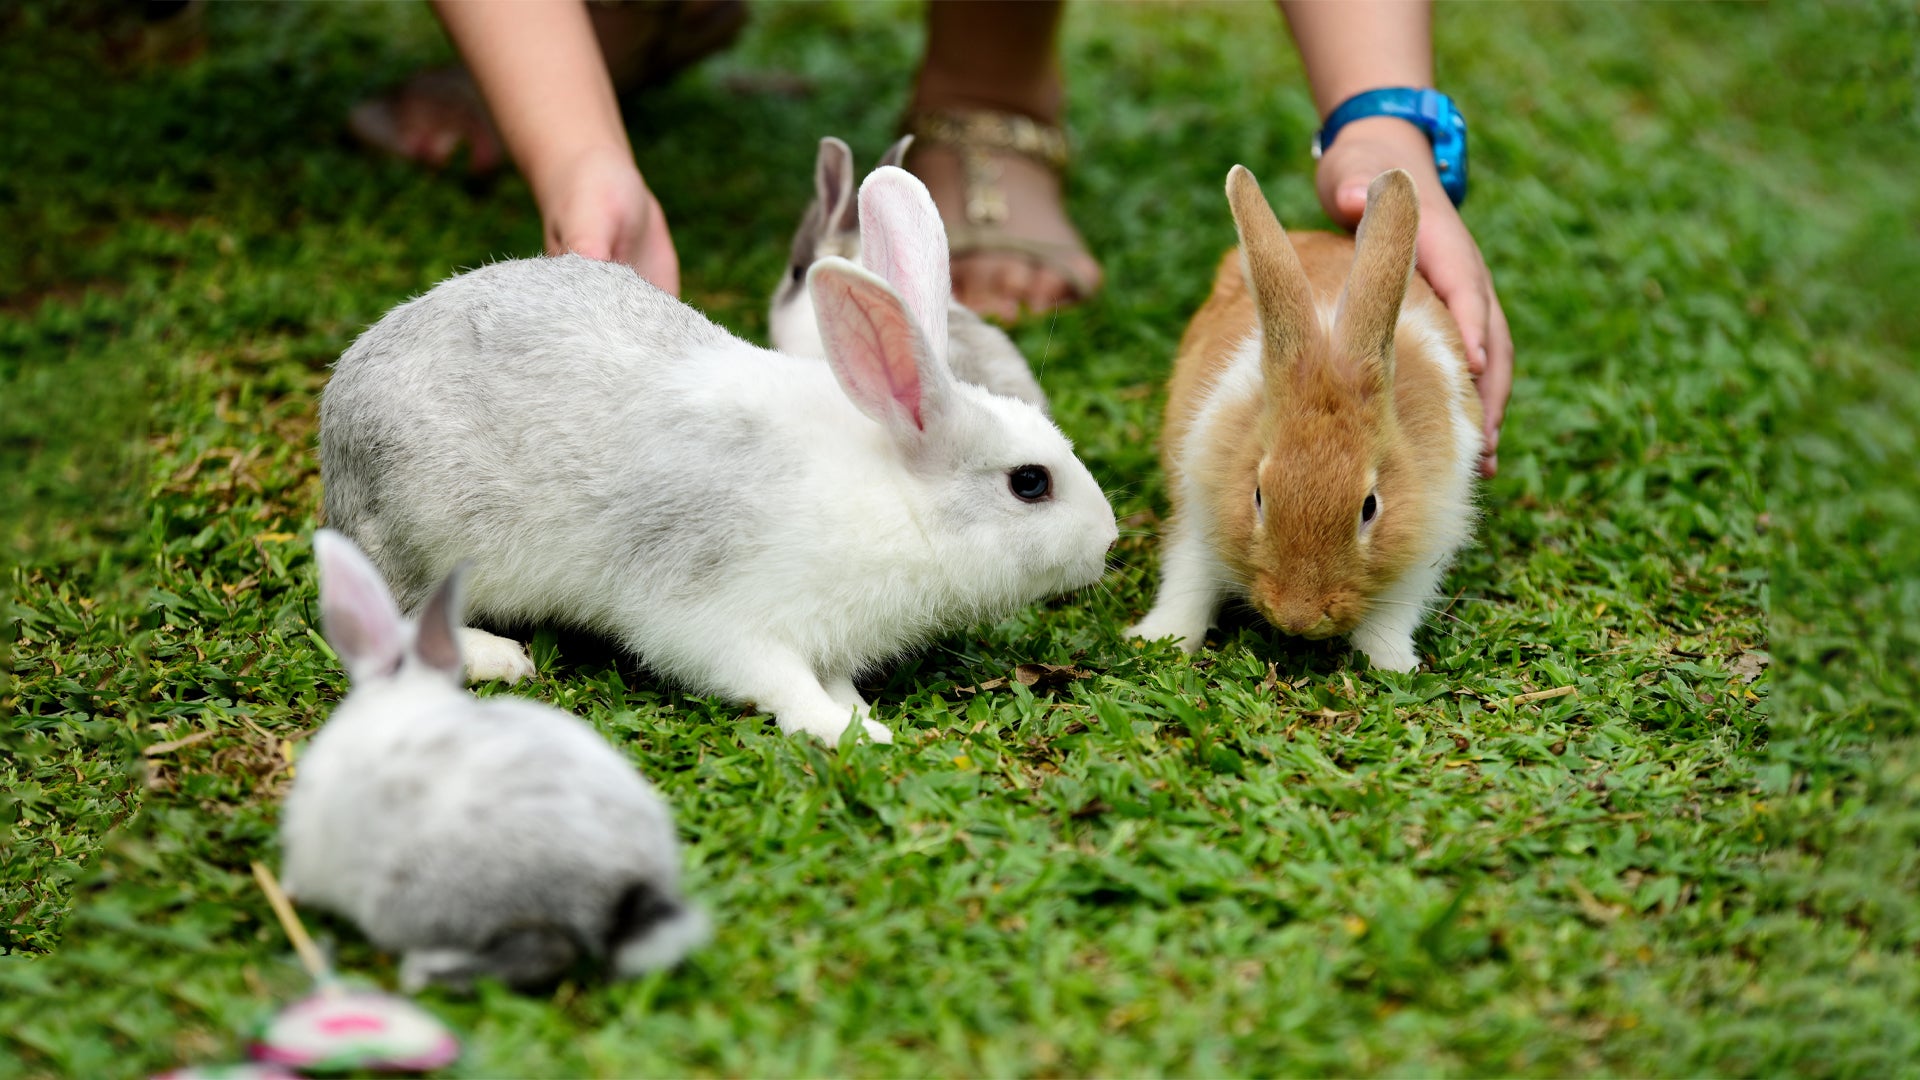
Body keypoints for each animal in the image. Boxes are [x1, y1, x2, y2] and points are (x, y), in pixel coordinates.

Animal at [319, 166, 1117, 746]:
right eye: (1030, 483)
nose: (1108, 541)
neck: (897, 496)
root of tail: (338, 425)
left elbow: (831, 681)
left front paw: (857, 714)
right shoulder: (723, 618)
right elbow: (777, 681)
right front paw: (851, 734)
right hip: (423, 534)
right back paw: (497, 656)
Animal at [1128, 166, 1482, 672]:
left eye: (1370, 507)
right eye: (1258, 495)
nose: (1297, 617)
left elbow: (1390, 619)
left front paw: (1394, 664)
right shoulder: (1201, 507)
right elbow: (1188, 580)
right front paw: (1157, 638)